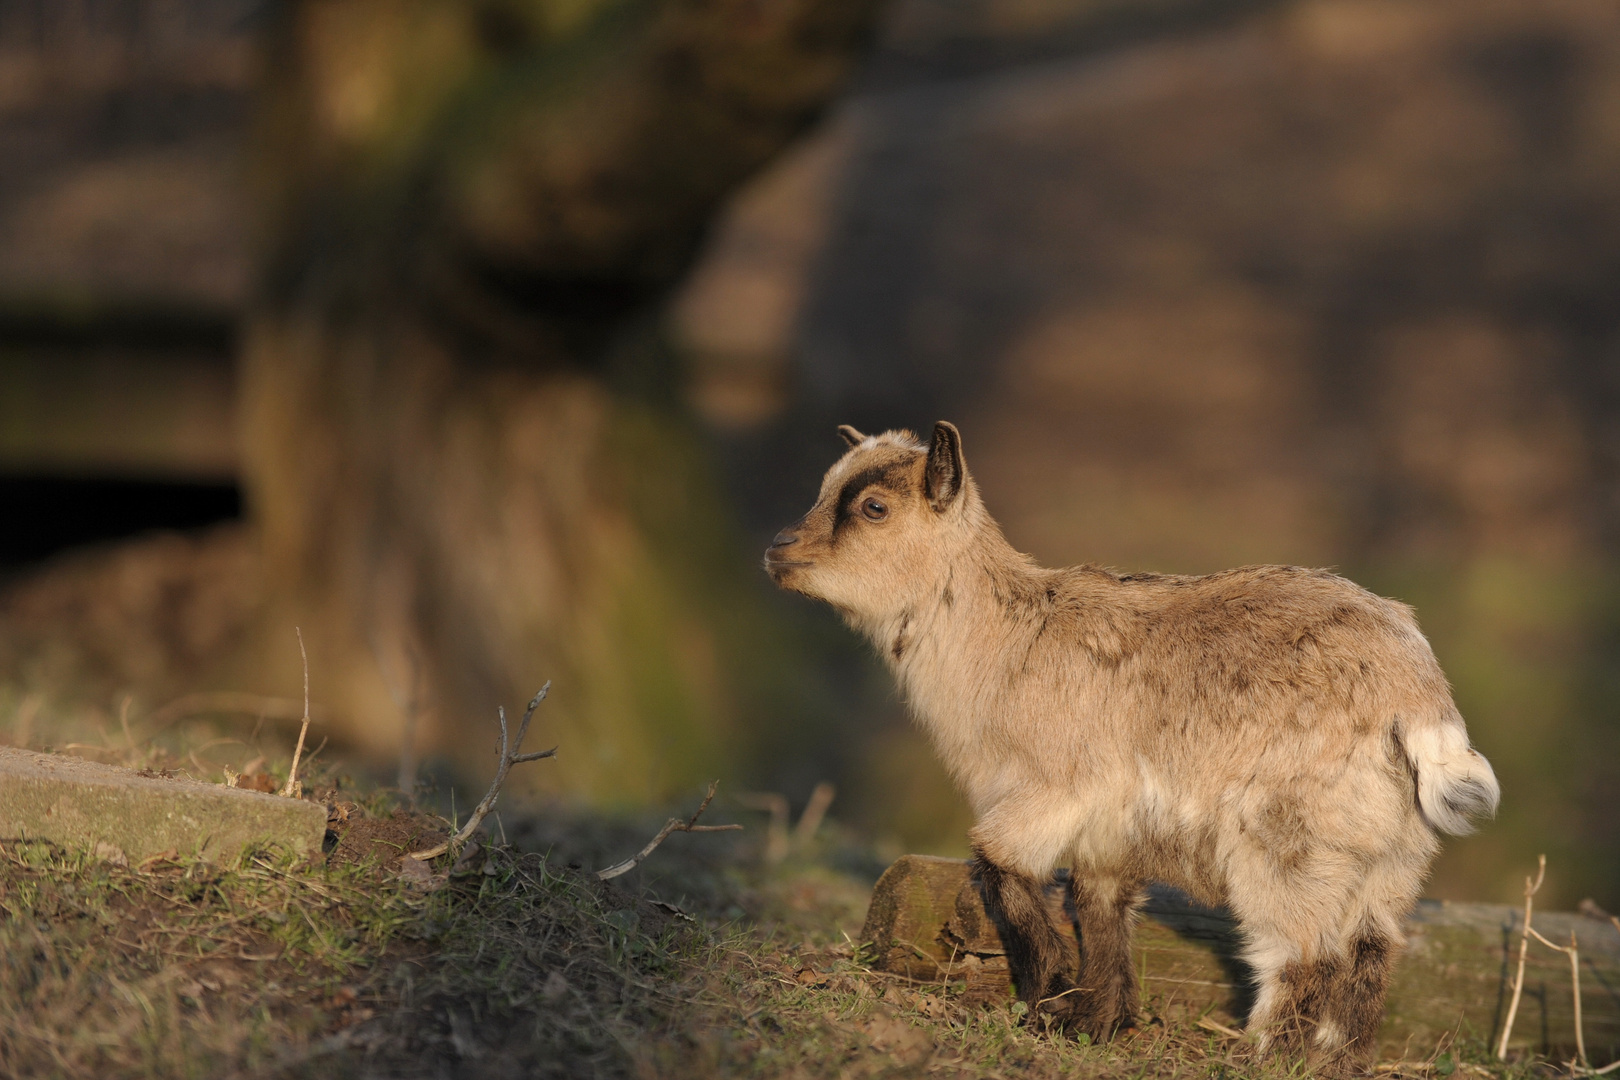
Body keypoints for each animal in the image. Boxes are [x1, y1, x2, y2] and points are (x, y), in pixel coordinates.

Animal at [764, 420, 1496, 1062]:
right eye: (827, 488)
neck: (1009, 641)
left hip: (1290, 841)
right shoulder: (1108, 831)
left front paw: (1047, 1003)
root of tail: (1415, 691)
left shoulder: (1052, 788)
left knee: (1304, 954)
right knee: (1372, 953)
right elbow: (1100, 909)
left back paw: (1264, 1058)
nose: (777, 549)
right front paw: (1096, 1021)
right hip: (1393, 857)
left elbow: (1000, 865)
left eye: (873, 507)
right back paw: (1337, 1059)